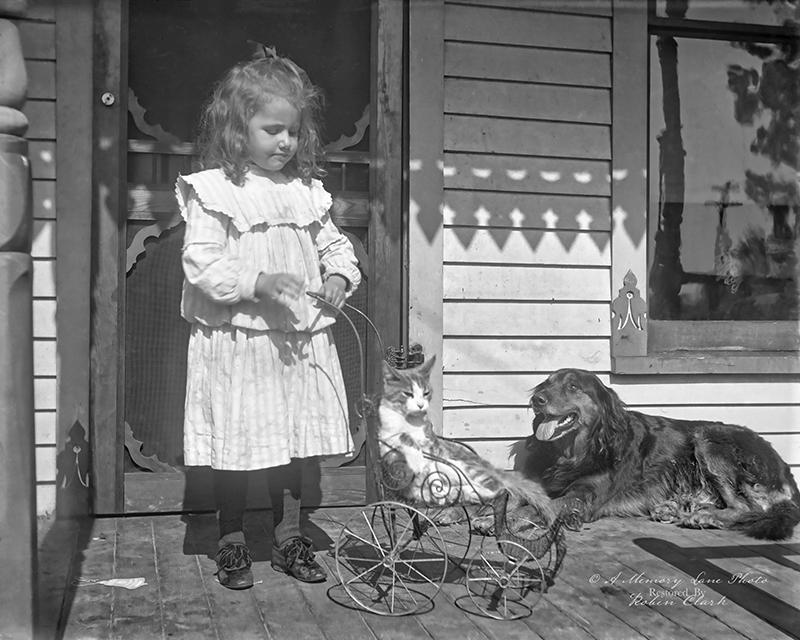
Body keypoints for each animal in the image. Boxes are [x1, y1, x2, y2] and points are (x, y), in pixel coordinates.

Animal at [520, 368, 796, 536]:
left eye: (573, 387)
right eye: (547, 383)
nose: (537, 399)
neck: (581, 450)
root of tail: (784, 468)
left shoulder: (582, 496)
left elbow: (539, 507)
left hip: (708, 437)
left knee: (748, 507)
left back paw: (704, 517)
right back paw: (676, 509)